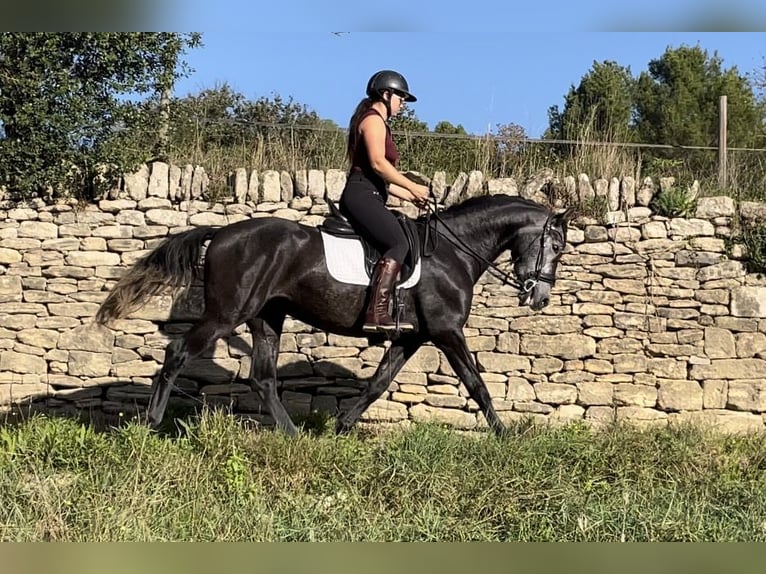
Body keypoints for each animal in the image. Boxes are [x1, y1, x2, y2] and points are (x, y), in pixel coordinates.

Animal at [94, 196, 576, 438]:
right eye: (555, 245)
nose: (540, 297)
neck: (453, 251)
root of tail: (223, 232)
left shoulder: (411, 337)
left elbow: (378, 383)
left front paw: (341, 429)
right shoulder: (446, 332)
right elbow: (477, 384)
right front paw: (506, 436)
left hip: (266, 318)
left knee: (262, 378)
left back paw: (293, 435)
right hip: (228, 312)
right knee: (177, 352)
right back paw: (151, 423)